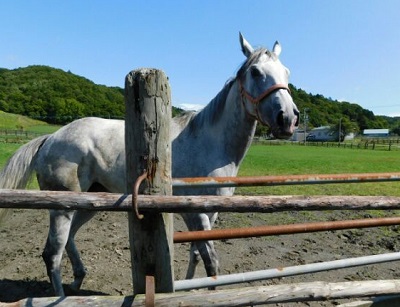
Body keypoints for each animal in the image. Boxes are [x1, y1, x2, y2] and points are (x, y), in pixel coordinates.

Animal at [0, 33, 298, 296]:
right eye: (256, 72)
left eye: (286, 72)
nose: (288, 118)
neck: (208, 142)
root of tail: (51, 138)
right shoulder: (197, 213)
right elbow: (211, 260)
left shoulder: (209, 213)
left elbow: (196, 255)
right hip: (62, 207)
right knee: (52, 252)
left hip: (87, 203)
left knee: (68, 241)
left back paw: (78, 279)